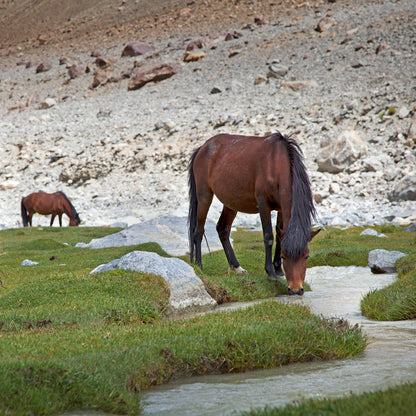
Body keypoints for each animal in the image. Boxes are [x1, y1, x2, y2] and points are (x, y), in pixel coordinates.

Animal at [190, 132, 320, 294]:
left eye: (306, 256)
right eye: (284, 257)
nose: (295, 289)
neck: (276, 163)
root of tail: (203, 148)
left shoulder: (281, 208)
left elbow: (279, 236)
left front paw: (278, 270)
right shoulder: (263, 204)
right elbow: (268, 237)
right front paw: (270, 272)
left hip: (231, 202)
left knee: (222, 229)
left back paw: (237, 267)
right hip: (204, 196)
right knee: (198, 231)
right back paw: (199, 265)